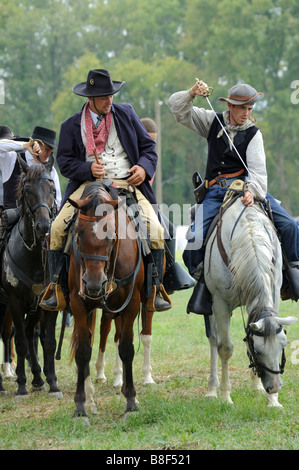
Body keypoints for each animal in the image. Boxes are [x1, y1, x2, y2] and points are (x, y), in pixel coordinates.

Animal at [69, 181, 154, 418]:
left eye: (111, 234)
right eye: (78, 233)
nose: (93, 284)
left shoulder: (131, 303)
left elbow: (126, 348)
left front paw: (131, 400)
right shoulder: (78, 304)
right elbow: (83, 351)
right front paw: (81, 405)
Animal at [204, 196, 298, 406]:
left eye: (283, 346)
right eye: (258, 351)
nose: (274, 387)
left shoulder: (272, 293)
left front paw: (273, 401)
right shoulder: (220, 303)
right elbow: (225, 348)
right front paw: (226, 396)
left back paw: (256, 386)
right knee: (213, 340)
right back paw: (212, 389)